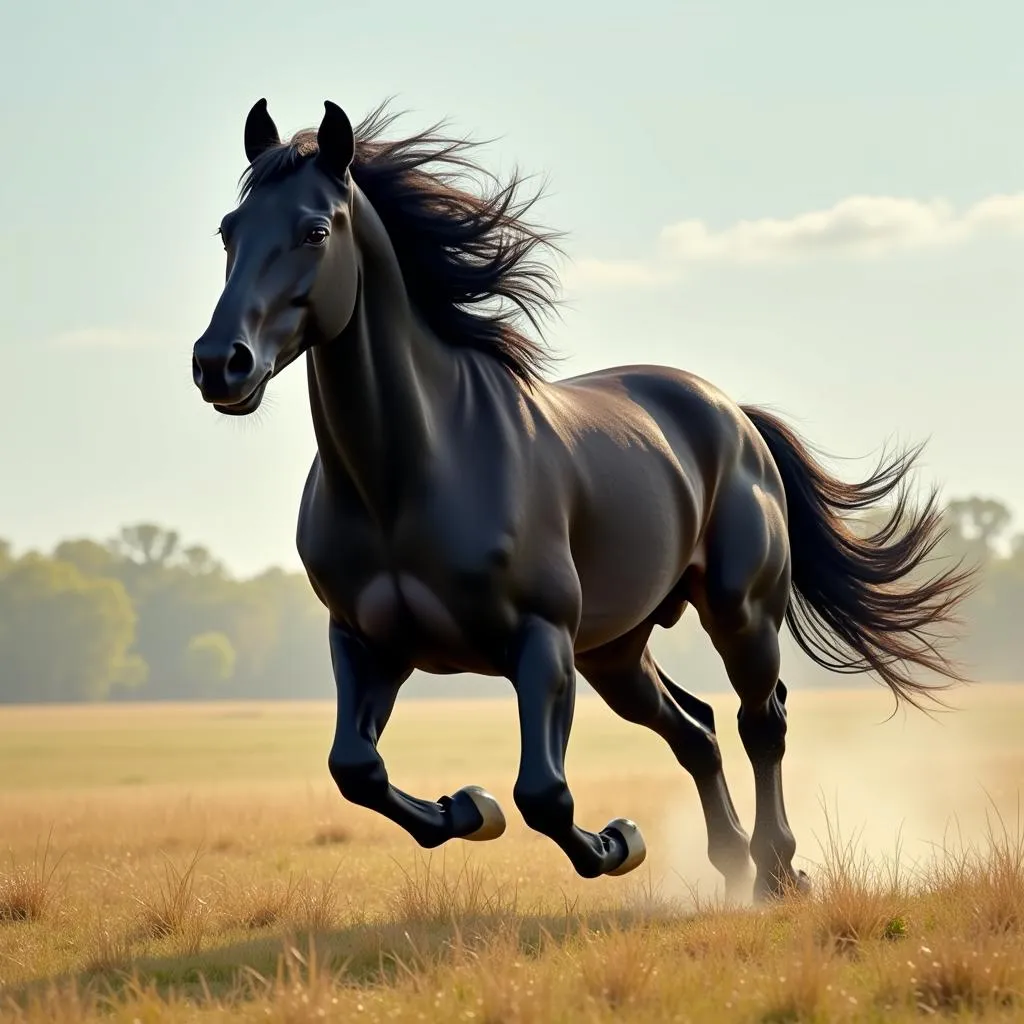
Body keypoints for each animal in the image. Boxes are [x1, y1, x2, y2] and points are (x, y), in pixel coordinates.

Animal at [192, 94, 974, 897]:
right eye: (228, 229)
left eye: (316, 230)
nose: (220, 364)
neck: (409, 479)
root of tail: (731, 413)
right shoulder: (366, 640)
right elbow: (357, 769)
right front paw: (468, 808)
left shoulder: (541, 640)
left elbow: (543, 792)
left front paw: (616, 842)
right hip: (616, 652)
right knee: (696, 730)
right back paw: (729, 865)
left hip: (741, 614)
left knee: (763, 722)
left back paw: (777, 872)